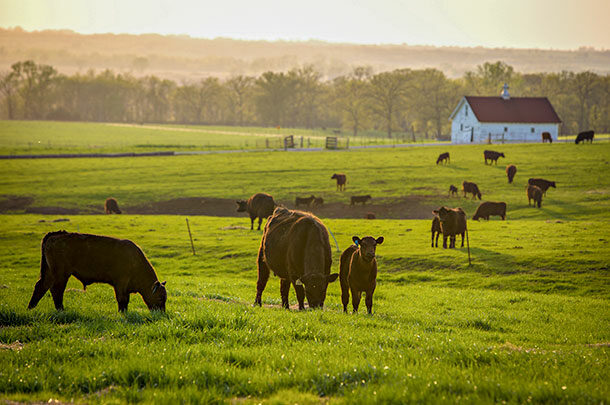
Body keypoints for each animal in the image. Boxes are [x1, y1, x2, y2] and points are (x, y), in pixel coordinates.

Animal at [27, 230, 166, 312]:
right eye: (160, 298)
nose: (161, 313)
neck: (135, 260)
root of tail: (55, 235)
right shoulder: (120, 283)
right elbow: (122, 300)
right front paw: (122, 313)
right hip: (61, 274)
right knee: (56, 290)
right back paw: (61, 310)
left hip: (49, 272)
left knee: (41, 286)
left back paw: (31, 308)